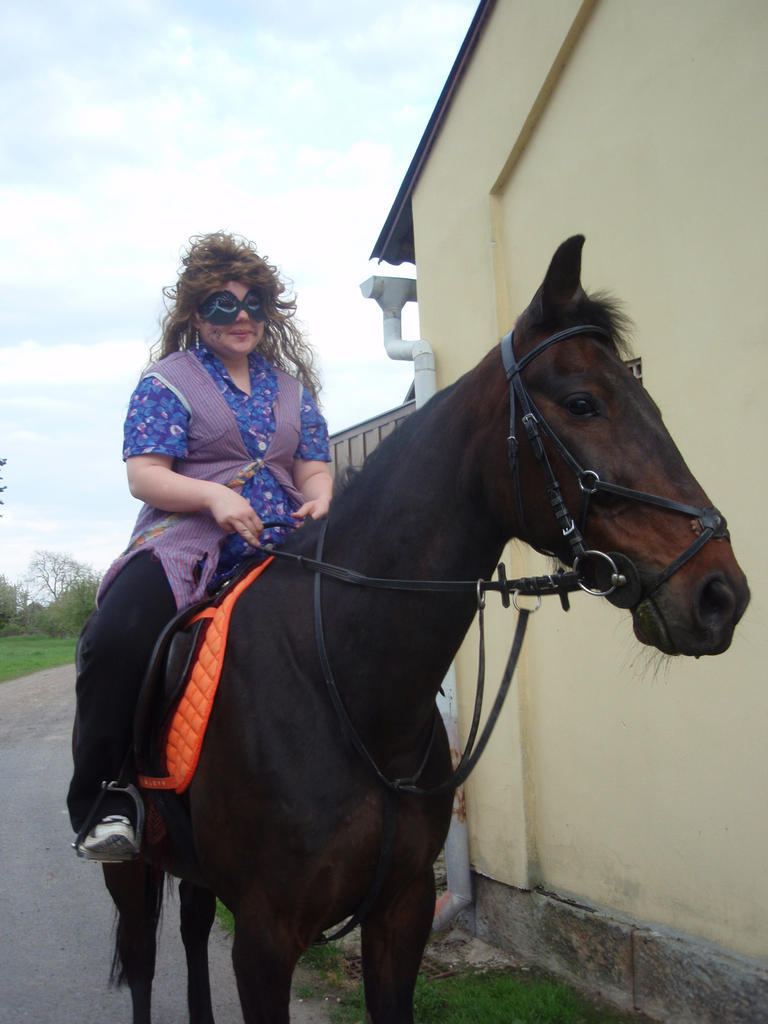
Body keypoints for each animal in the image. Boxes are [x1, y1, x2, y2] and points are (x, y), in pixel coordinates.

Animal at [100, 235, 749, 1024]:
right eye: (584, 403)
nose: (720, 593)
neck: (343, 682)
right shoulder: (264, 938)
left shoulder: (400, 913)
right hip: (131, 870)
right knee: (141, 960)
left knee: (192, 931)